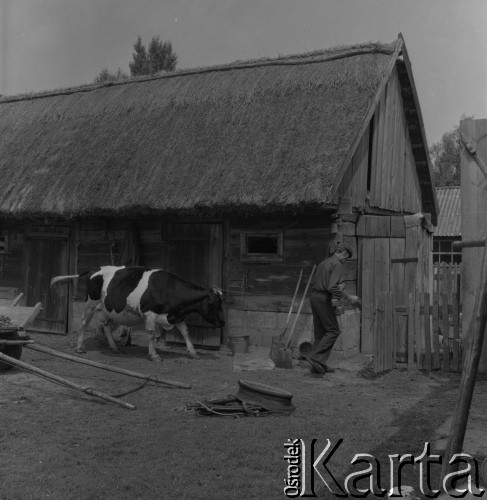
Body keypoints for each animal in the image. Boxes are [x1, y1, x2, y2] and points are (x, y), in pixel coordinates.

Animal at [50, 268, 226, 362]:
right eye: (216, 303)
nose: (223, 322)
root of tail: (96, 270)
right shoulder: (150, 313)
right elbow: (151, 334)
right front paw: (154, 355)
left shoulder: (177, 315)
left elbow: (186, 332)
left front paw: (193, 352)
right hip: (91, 303)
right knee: (84, 322)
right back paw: (80, 347)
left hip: (105, 308)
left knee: (105, 325)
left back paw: (114, 347)